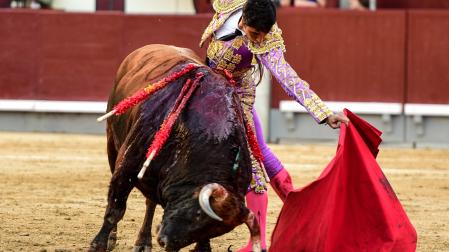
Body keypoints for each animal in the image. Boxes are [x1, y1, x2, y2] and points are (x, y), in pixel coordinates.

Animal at [89, 45, 260, 252]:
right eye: (196, 215)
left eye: (213, 231)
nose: (165, 241)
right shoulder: (128, 164)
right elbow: (115, 208)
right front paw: (98, 244)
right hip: (112, 144)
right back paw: (113, 239)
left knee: (150, 203)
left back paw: (143, 242)